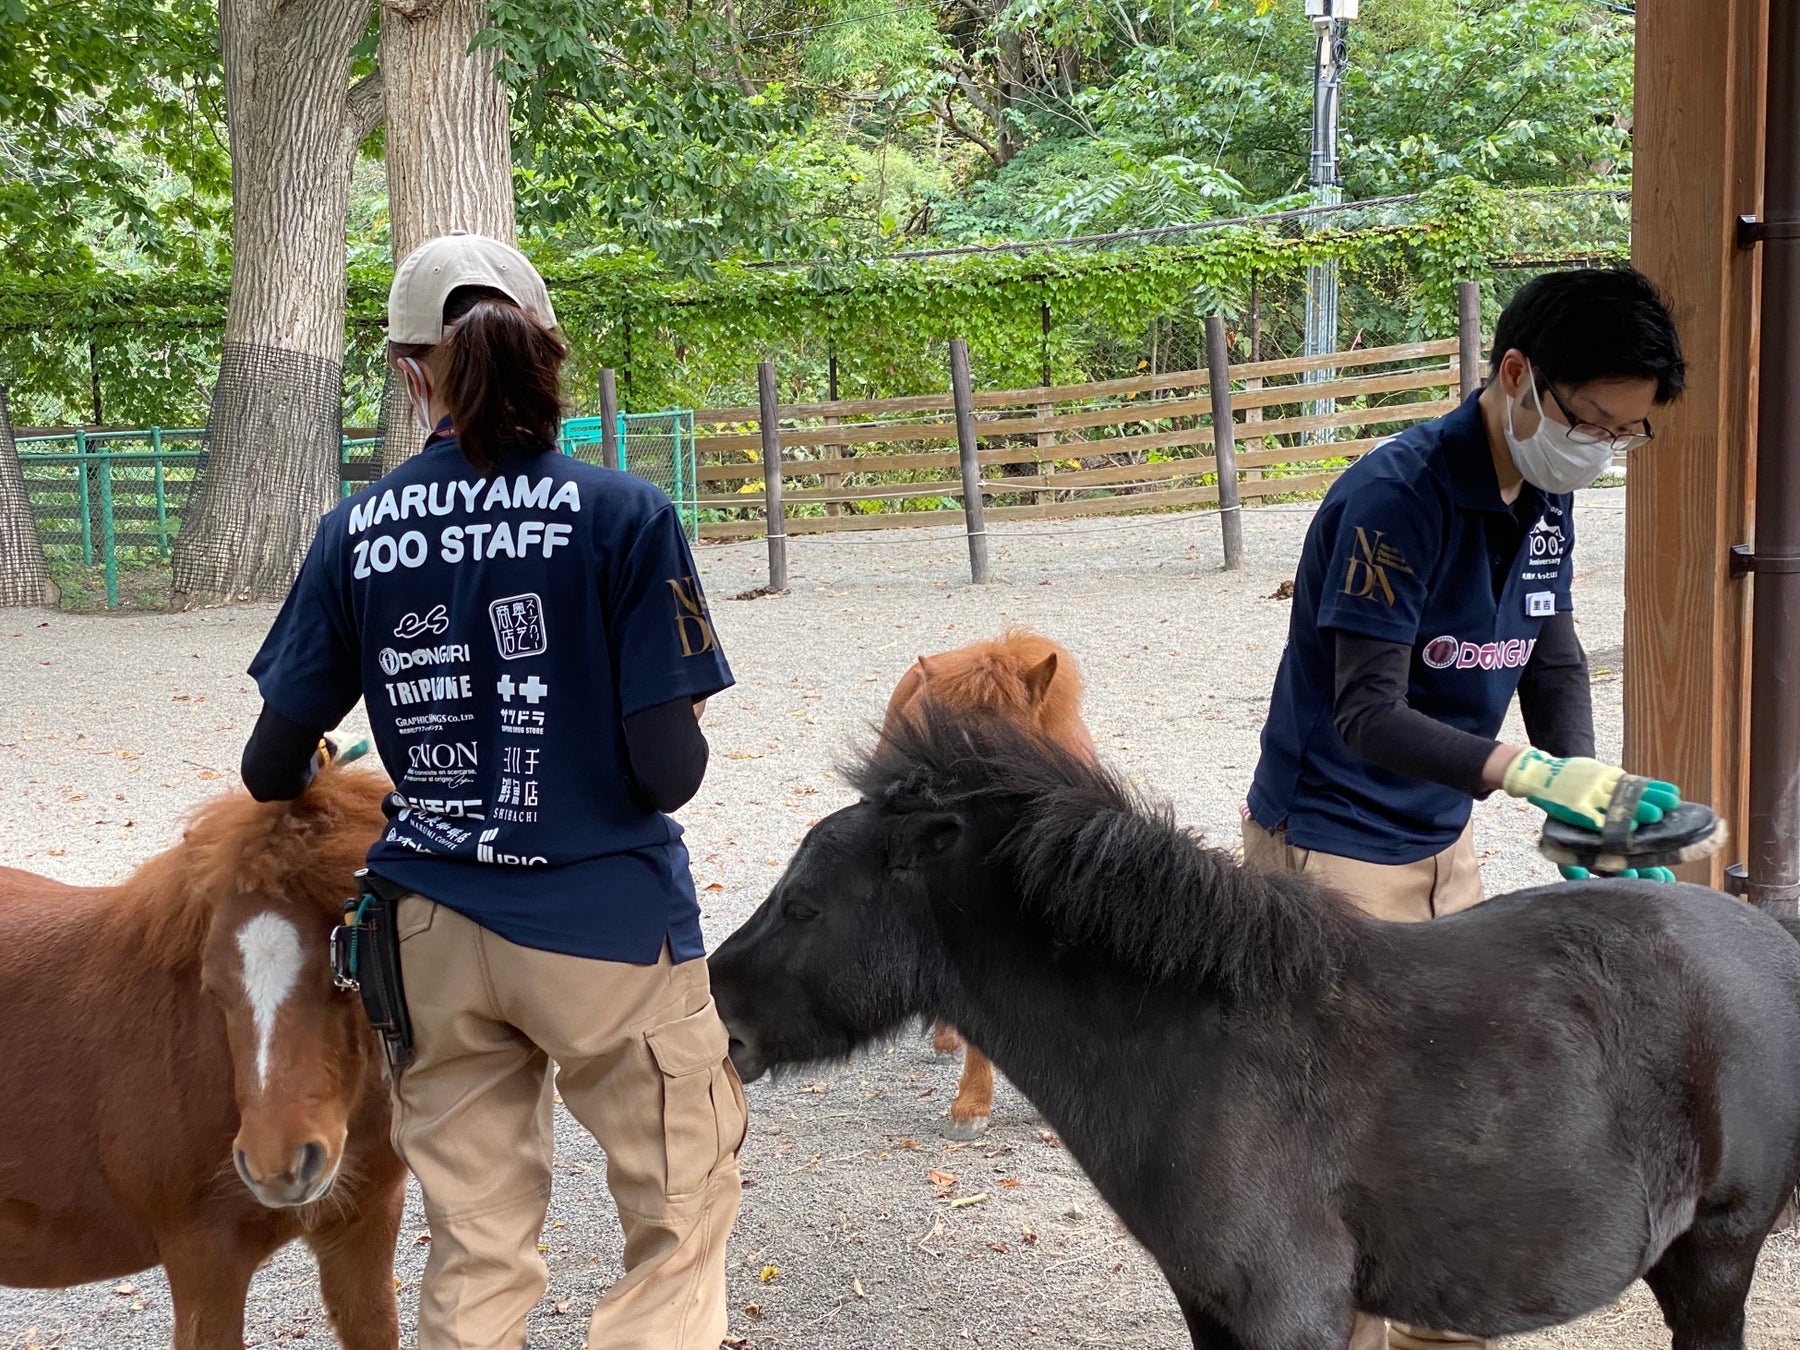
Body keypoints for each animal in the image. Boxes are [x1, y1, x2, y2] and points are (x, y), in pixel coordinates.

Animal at [709, 712, 1800, 1346]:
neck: (1203, 1046)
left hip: (1714, 1257)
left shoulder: (1288, 1314)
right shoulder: (1212, 1309)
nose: (718, 1016)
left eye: (803, 905)